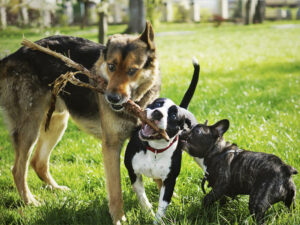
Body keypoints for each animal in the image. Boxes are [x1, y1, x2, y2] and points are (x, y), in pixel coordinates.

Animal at [0, 22, 161, 224]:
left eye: (132, 70)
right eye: (111, 66)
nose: (111, 98)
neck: (137, 104)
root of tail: (14, 55)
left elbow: (159, 178)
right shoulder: (111, 146)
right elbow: (115, 189)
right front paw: (118, 218)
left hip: (57, 122)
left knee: (38, 162)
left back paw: (56, 189)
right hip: (30, 128)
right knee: (18, 169)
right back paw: (30, 202)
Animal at [124, 58, 199, 223]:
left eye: (173, 115)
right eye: (158, 104)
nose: (158, 113)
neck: (155, 149)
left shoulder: (170, 180)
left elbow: (163, 205)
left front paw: (156, 219)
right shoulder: (134, 173)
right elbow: (142, 197)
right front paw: (148, 212)